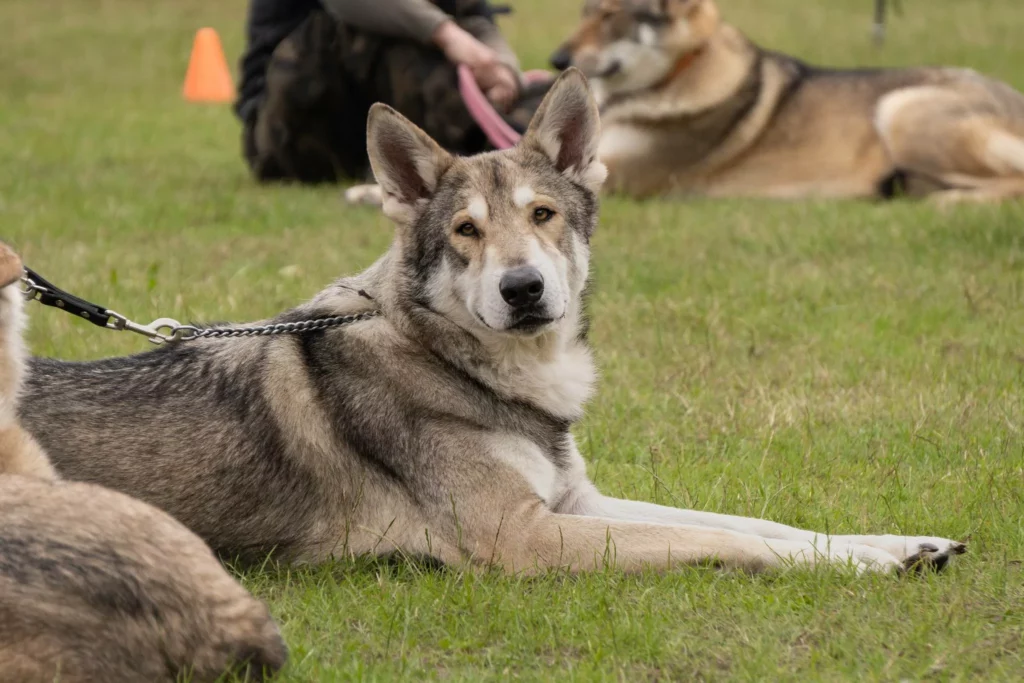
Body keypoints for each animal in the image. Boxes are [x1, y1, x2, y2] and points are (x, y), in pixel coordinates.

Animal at [22, 70, 966, 581]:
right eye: (467, 232)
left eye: (543, 214)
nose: (522, 288)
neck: (479, 370)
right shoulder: (529, 535)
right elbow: (716, 536)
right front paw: (862, 564)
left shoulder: (576, 499)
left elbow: (757, 522)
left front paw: (898, 543)